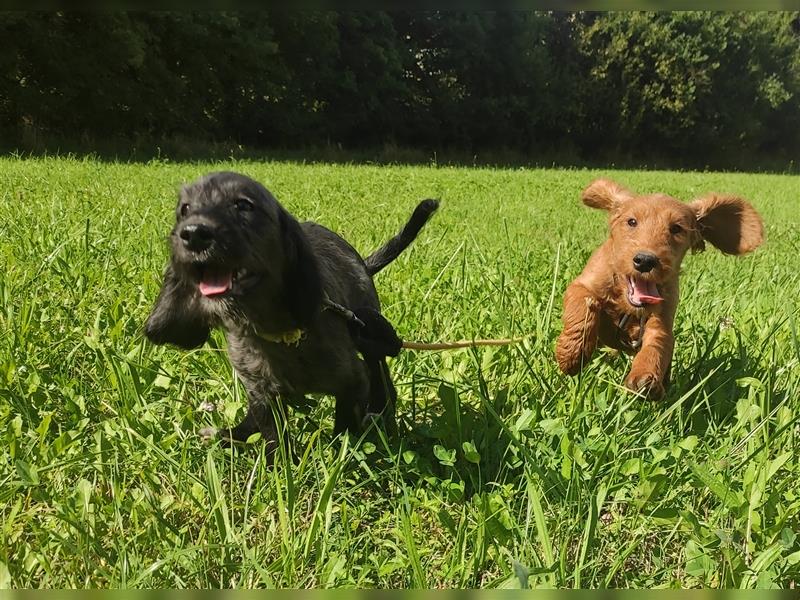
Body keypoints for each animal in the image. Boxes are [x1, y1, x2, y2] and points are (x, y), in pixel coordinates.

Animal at [144, 169, 438, 454]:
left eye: (243, 205)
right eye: (184, 209)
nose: (193, 233)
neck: (280, 334)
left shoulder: (352, 381)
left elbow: (344, 429)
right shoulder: (262, 393)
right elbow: (275, 439)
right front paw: (279, 465)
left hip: (370, 336)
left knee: (381, 379)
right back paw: (230, 435)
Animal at [552, 178, 764, 398]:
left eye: (676, 228)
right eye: (632, 222)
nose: (645, 260)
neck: (626, 304)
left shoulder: (662, 319)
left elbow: (657, 345)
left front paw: (645, 378)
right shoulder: (584, 284)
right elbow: (582, 308)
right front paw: (571, 355)